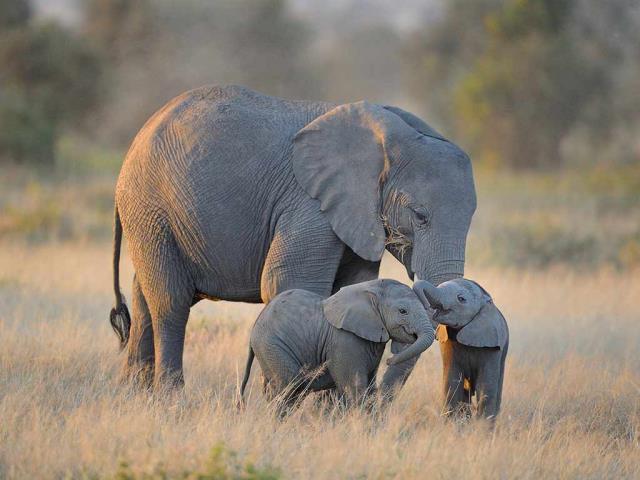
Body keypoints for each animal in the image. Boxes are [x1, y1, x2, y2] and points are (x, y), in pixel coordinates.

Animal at [109, 84, 476, 390]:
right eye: (420, 216)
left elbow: (350, 288)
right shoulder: (309, 204)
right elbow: (288, 283)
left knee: (144, 297)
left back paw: (134, 396)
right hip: (150, 208)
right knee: (170, 302)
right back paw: (170, 399)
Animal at [239, 279, 435, 413]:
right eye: (403, 311)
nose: (389, 360)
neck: (371, 289)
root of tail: (255, 326)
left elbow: (370, 388)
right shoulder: (345, 340)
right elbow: (355, 389)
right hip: (272, 345)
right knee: (290, 388)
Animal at [413, 279, 508, 419]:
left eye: (461, 299)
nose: (426, 306)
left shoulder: (492, 345)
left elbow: (486, 387)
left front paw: (481, 425)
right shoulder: (447, 342)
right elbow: (451, 383)